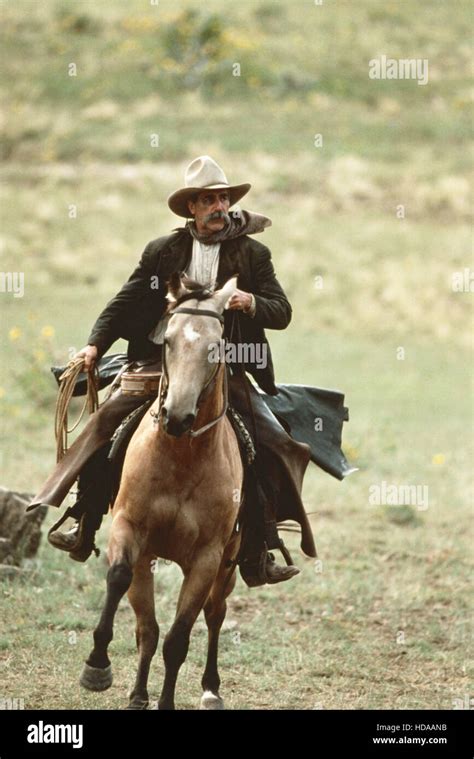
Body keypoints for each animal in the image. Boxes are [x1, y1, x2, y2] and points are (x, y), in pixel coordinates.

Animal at [79, 274, 243, 712]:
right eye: (166, 339)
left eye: (216, 346)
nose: (177, 416)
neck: (182, 456)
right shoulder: (130, 531)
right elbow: (133, 603)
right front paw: (98, 667)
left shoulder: (206, 559)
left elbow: (178, 638)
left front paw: (165, 701)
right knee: (149, 627)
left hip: (229, 562)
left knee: (215, 613)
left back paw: (211, 688)